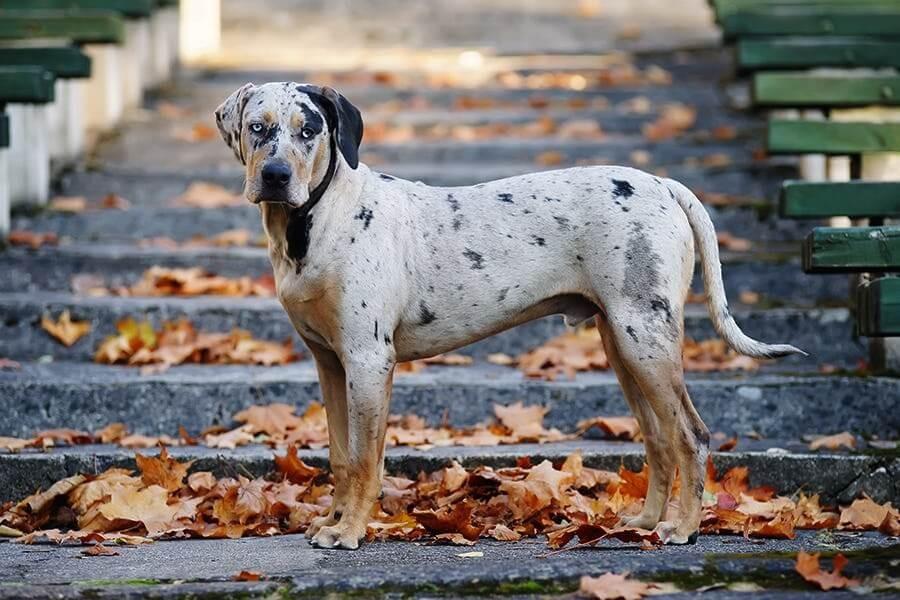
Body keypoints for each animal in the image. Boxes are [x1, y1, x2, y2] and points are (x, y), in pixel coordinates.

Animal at [216, 83, 800, 548]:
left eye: (309, 130)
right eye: (257, 127)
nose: (275, 175)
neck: (316, 221)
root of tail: (664, 185)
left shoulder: (367, 361)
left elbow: (363, 460)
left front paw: (349, 532)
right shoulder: (330, 364)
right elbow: (340, 456)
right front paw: (333, 521)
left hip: (645, 340)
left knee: (691, 436)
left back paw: (684, 528)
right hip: (623, 343)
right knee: (659, 438)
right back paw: (646, 521)